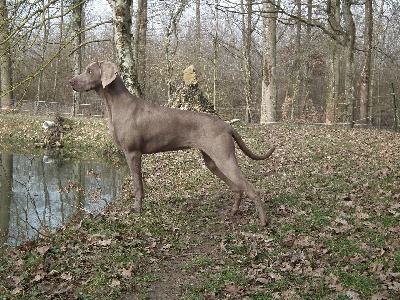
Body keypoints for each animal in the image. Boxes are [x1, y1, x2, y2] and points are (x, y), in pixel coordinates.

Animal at [69, 61, 276, 225]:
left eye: (89, 71)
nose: (70, 82)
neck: (116, 105)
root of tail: (226, 125)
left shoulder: (132, 153)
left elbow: (137, 185)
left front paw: (136, 208)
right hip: (212, 162)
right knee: (237, 188)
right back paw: (232, 212)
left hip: (224, 158)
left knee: (252, 190)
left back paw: (263, 222)